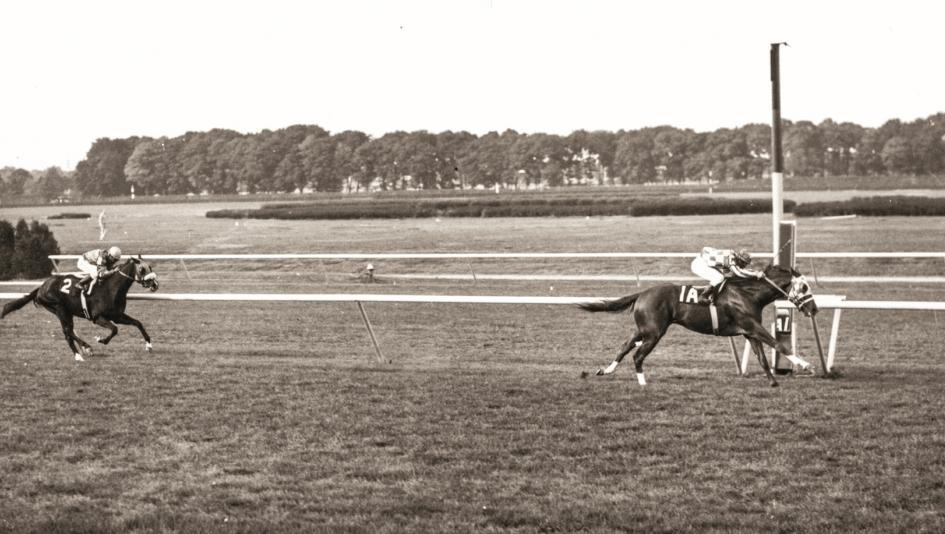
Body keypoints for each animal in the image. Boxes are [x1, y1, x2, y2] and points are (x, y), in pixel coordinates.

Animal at [0, 258, 159, 362]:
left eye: (151, 267)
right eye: (142, 269)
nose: (155, 284)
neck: (111, 288)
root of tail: (41, 287)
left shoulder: (117, 315)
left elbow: (137, 323)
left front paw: (149, 345)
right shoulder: (97, 317)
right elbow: (114, 329)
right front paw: (101, 340)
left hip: (66, 312)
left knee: (69, 331)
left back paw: (82, 351)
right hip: (59, 309)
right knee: (67, 332)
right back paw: (82, 352)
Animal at [580, 264, 816, 388]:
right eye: (804, 287)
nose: (814, 309)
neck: (748, 293)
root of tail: (642, 293)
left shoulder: (749, 331)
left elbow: (763, 358)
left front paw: (773, 381)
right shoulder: (751, 325)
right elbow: (779, 345)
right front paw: (807, 366)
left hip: (643, 329)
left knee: (625, 346)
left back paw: (606, 370)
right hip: (654, 332)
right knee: (637, 355)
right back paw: (643, 383)